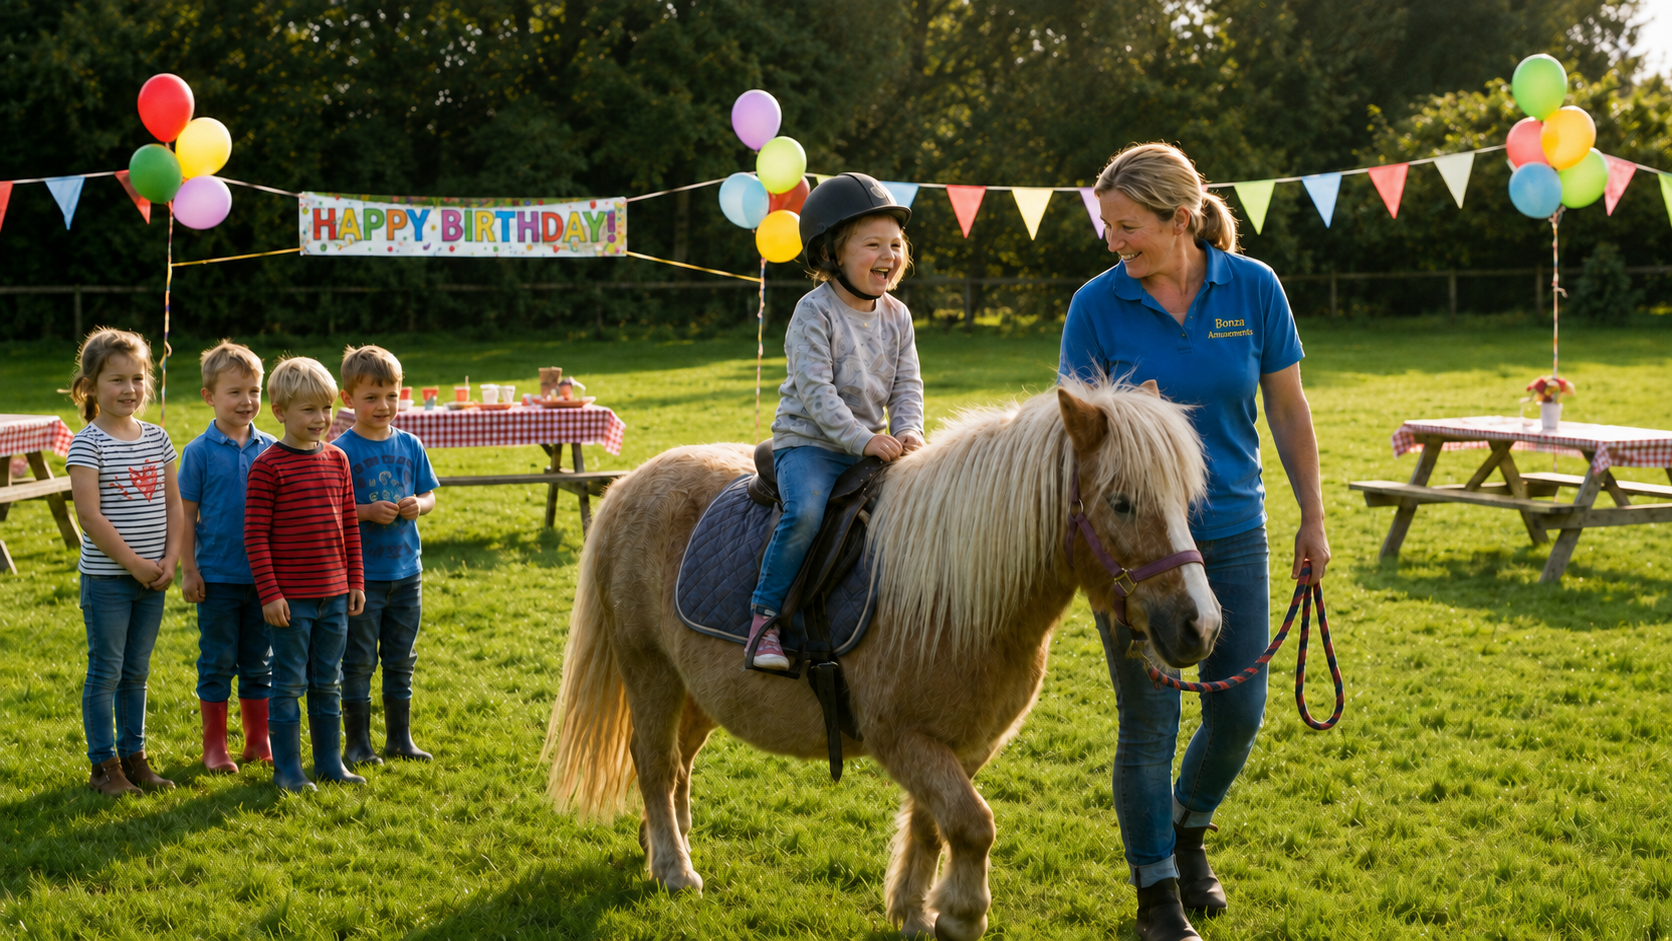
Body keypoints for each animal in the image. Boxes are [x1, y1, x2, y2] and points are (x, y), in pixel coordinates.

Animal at [541, 379, 1220, 940]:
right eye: (1122, 502)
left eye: (1185, 499)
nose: (1201, 626)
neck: (956, 596)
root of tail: (632, 482)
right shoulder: (902, 739)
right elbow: (973, 824)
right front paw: (961, 915)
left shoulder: (966, 745)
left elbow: (934, 823)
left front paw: (915, 912)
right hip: (649, 669)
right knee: (654, 762)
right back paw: (674, 869)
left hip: (701, 689)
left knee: (678, 764)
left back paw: (661, 844)